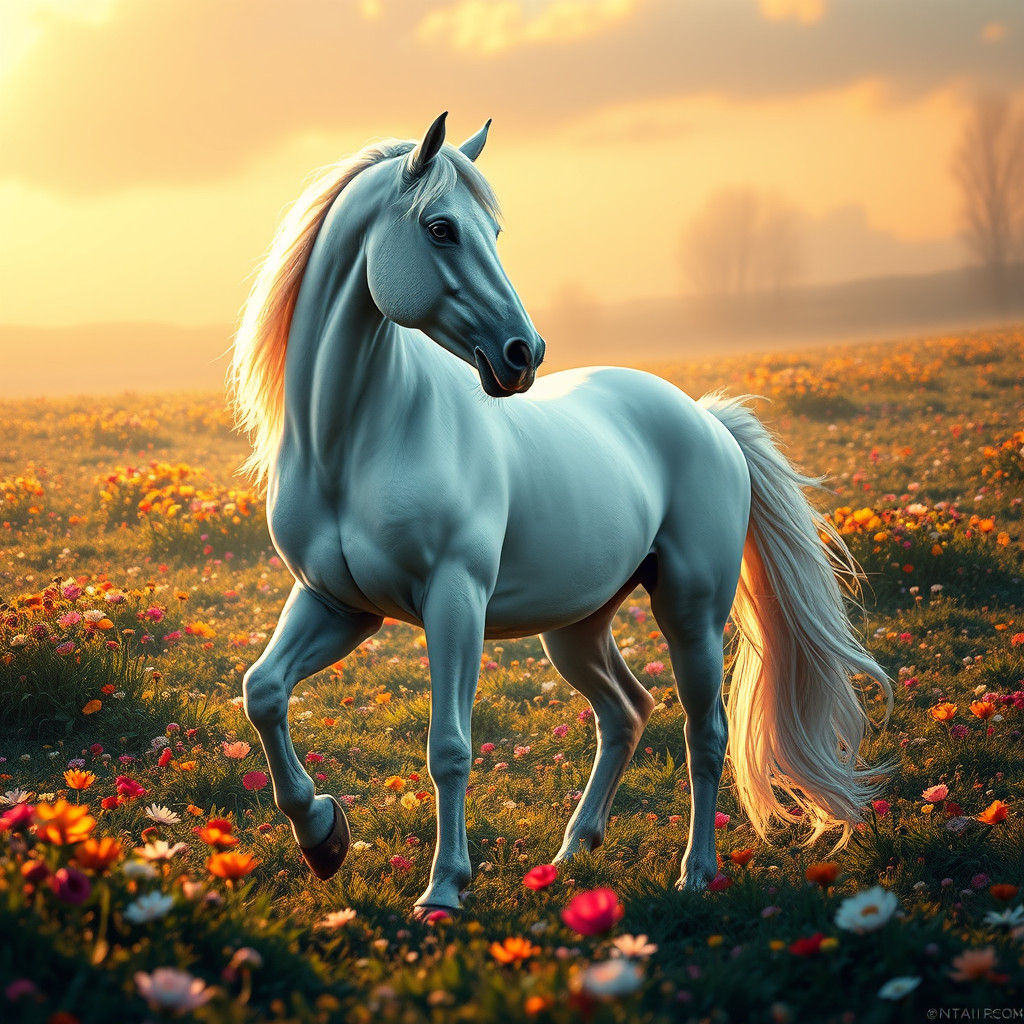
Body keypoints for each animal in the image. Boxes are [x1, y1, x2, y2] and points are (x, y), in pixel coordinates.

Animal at [230, 113, 892, 916]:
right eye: (442, 228)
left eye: (494, 230)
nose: (523, 352)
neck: (353, 441)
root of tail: (707, 419)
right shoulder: (337, 603)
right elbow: (263, 693)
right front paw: (323, 835)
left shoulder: (453, 600)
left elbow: (449, 748)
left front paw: (443, 889)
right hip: (577, 629)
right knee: (626, 711)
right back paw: (574, 851)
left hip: (690, 613)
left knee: (703, 734)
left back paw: (696, 872)